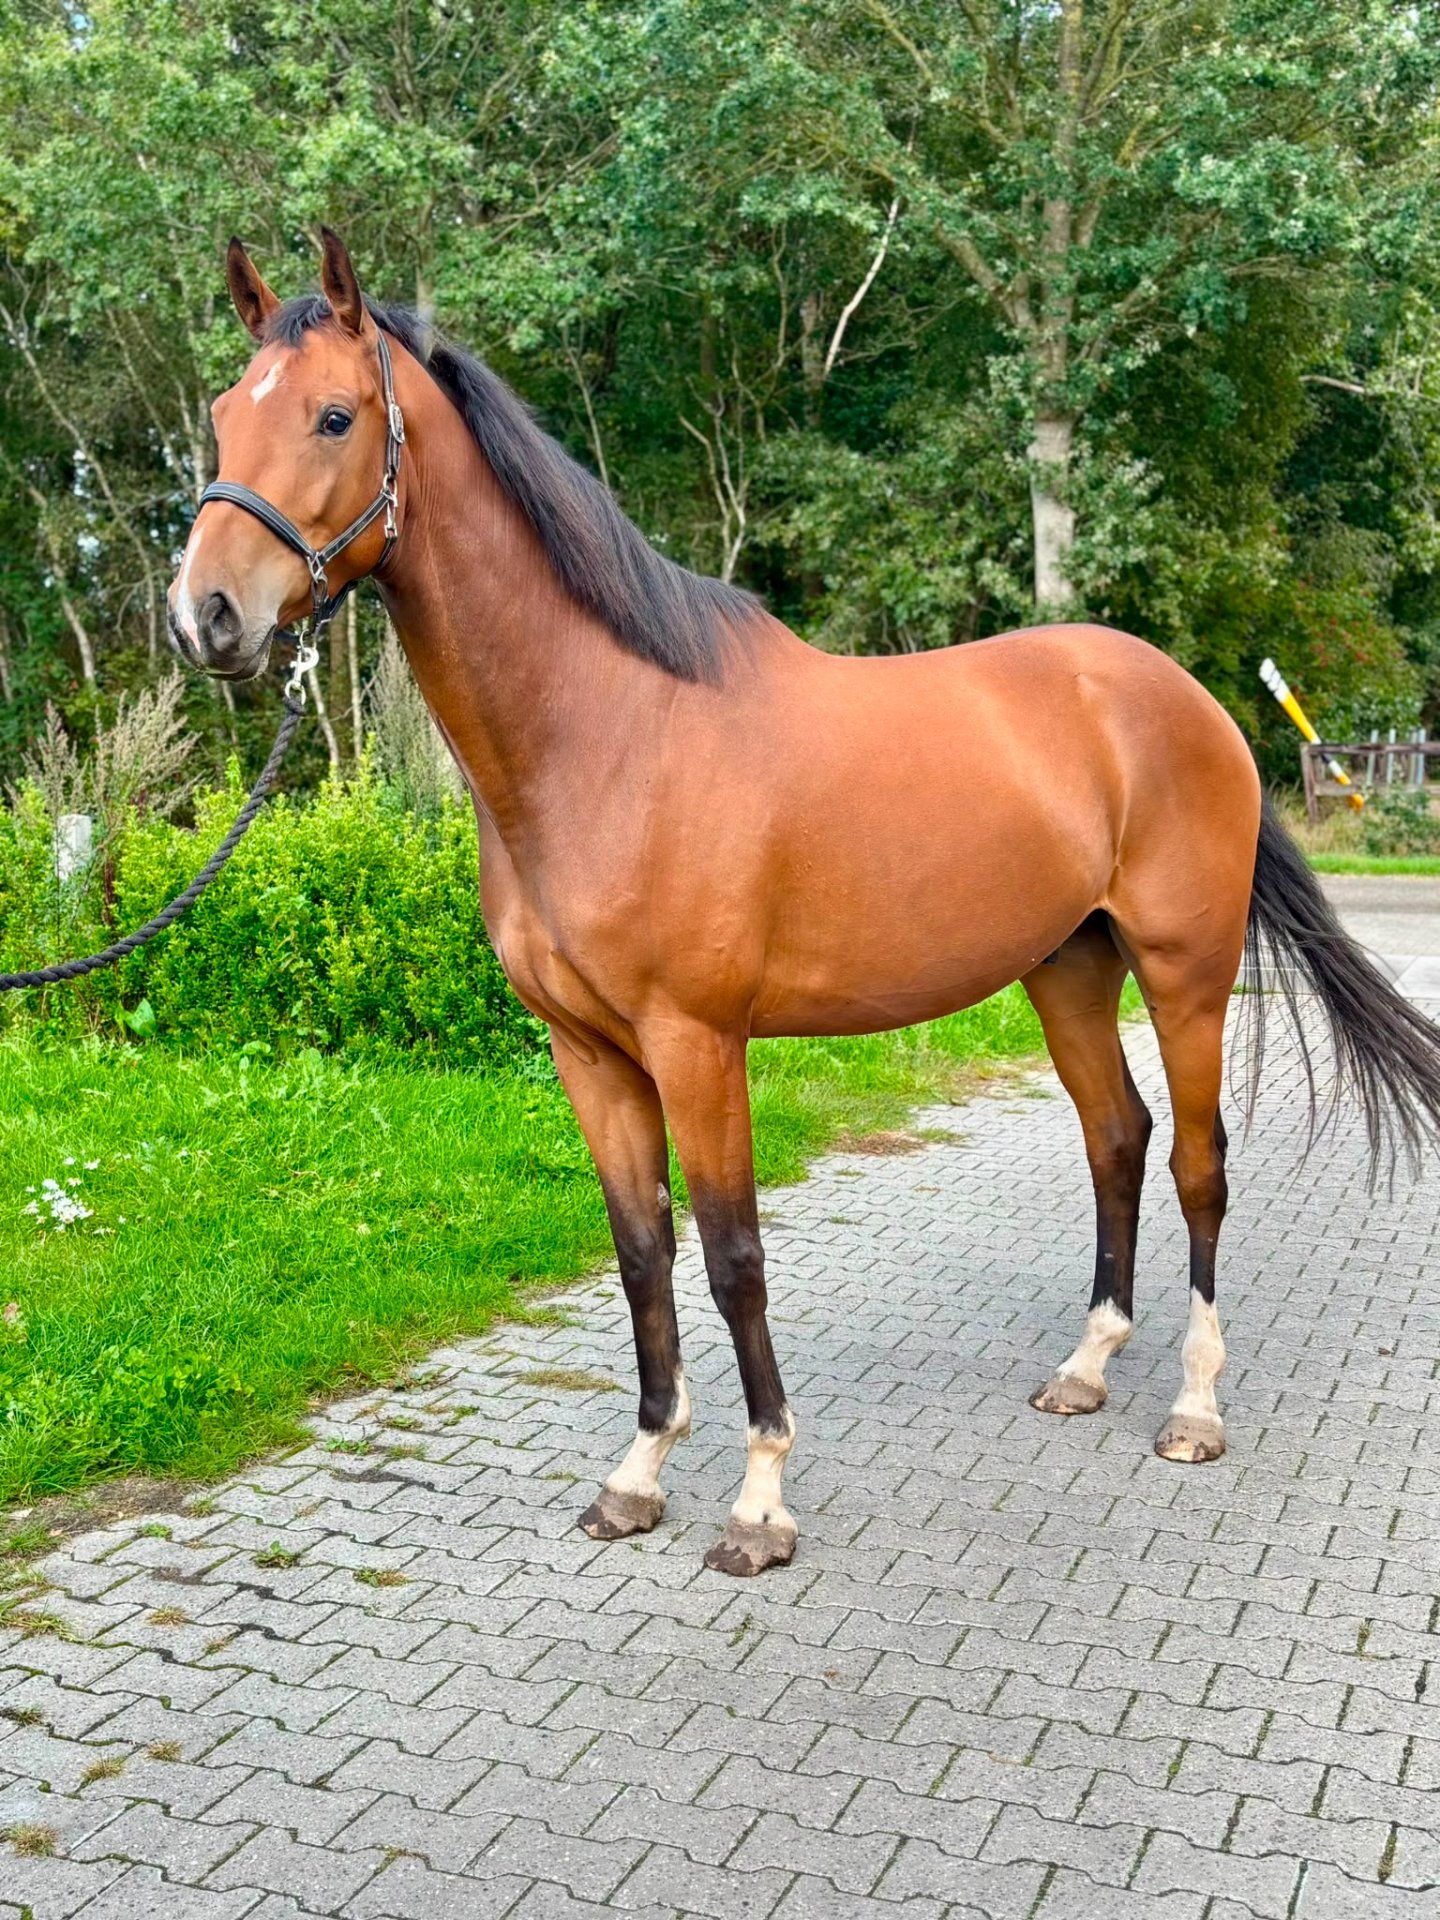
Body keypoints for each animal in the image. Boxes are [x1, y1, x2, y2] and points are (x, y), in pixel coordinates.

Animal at [167, 231, 1440, 1577]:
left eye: (335, 415)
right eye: (223, 418)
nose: (206, 617)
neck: (606, 735)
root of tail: (1183, 698)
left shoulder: (696, 1043)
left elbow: (734, 1258)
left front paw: (760, 1502)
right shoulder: (588, 1054)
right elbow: (640, 1254)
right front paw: (637, 1476)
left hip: (1185, 971)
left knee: (1200, 1163)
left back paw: (1195, 1407)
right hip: (1068, 969)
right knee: (1118, 1137)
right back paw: (1088, 1367)